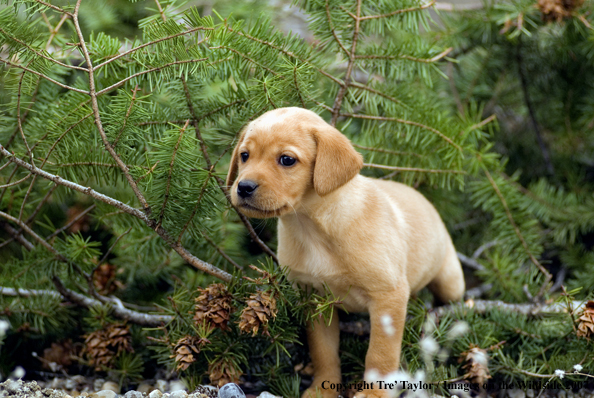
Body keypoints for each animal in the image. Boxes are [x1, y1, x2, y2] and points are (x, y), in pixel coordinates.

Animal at [225, 107, 462, 398]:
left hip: (450, 281)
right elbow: (323, 350)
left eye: (287, 160)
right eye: (244, 155)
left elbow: (380, 354)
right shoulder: (314, 298)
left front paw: (375, 393)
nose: (243, 187)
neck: (312, 229)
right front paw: (322, 387)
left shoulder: (388, 295)